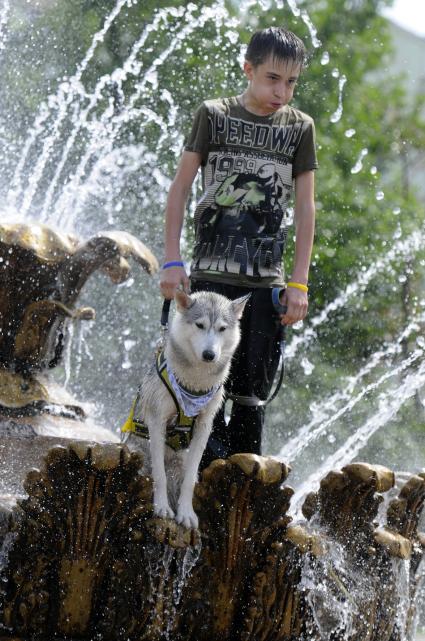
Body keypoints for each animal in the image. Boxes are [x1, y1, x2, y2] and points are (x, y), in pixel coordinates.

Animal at [122, 288, 248, 528]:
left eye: (222, 329)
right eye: (199, 325)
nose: (209, 355)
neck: (194, 385)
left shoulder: (204, 426)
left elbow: (190, 480)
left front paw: (186, 513)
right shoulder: (157, 421)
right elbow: (159, 474)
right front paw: (162, 507)